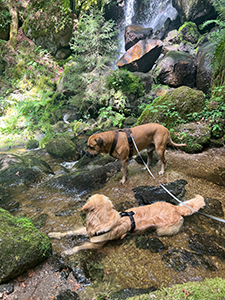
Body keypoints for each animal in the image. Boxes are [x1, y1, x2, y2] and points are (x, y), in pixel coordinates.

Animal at [48, 195, 205, 255]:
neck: (100, 220)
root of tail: (176, 208)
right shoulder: (87, 231)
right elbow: (69, 232)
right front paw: (53, 234)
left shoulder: (96, 244)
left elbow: (79, 247)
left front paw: (67, 252)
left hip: (163, 230)